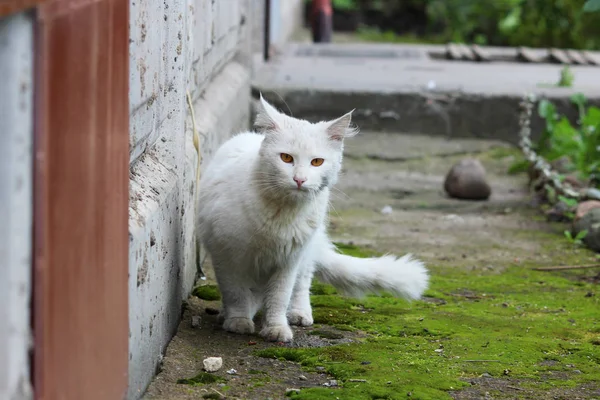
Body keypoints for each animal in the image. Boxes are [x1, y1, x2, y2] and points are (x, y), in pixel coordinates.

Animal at [196, 95, 426, 342]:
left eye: (317, 162)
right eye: (286, 158)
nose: (300, 179)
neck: (280, 214)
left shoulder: (288, 260)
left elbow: (279, 297)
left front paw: (276, 328)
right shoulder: (227, 256)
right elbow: (235, 293)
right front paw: (238, 320)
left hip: (305, 252)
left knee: (301, 285)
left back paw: (298, 313)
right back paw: (230, 313)